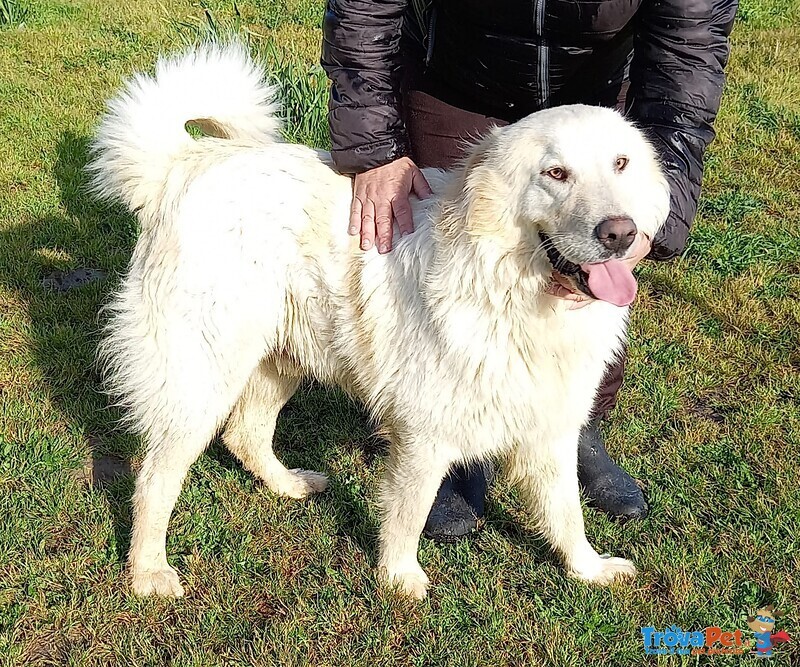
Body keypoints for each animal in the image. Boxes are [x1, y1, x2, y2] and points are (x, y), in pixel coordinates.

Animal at [89, 44, 668, 604]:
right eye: (556, 173)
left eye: (621, 164)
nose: (620, 232)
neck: (512, 289)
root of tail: (184, 163)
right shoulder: (424, 435)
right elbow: (410, 513)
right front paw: (399, 578)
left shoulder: (551, 427)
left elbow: (567, 513)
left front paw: (588, 569)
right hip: (202, 381)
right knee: (155, 479)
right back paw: (148, 573)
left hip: (281, 359)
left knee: (243, 433)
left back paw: (289, 485)